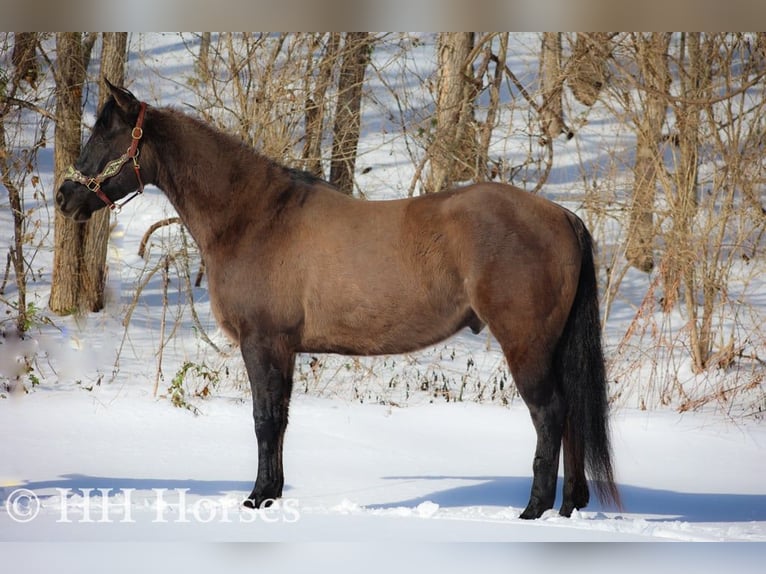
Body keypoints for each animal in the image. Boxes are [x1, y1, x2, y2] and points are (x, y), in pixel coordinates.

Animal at [56, 81, 621, 520]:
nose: (64, 196)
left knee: (550, 414)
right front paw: (272, 494)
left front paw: (256, 499)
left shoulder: (263, 343)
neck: (254, 217)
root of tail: (560, 215)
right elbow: (279, 419)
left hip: (526, 344)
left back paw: (534, 509)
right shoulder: (282, 349)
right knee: (571, 414)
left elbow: (264, 420)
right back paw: (569, 505)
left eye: (106, 136)